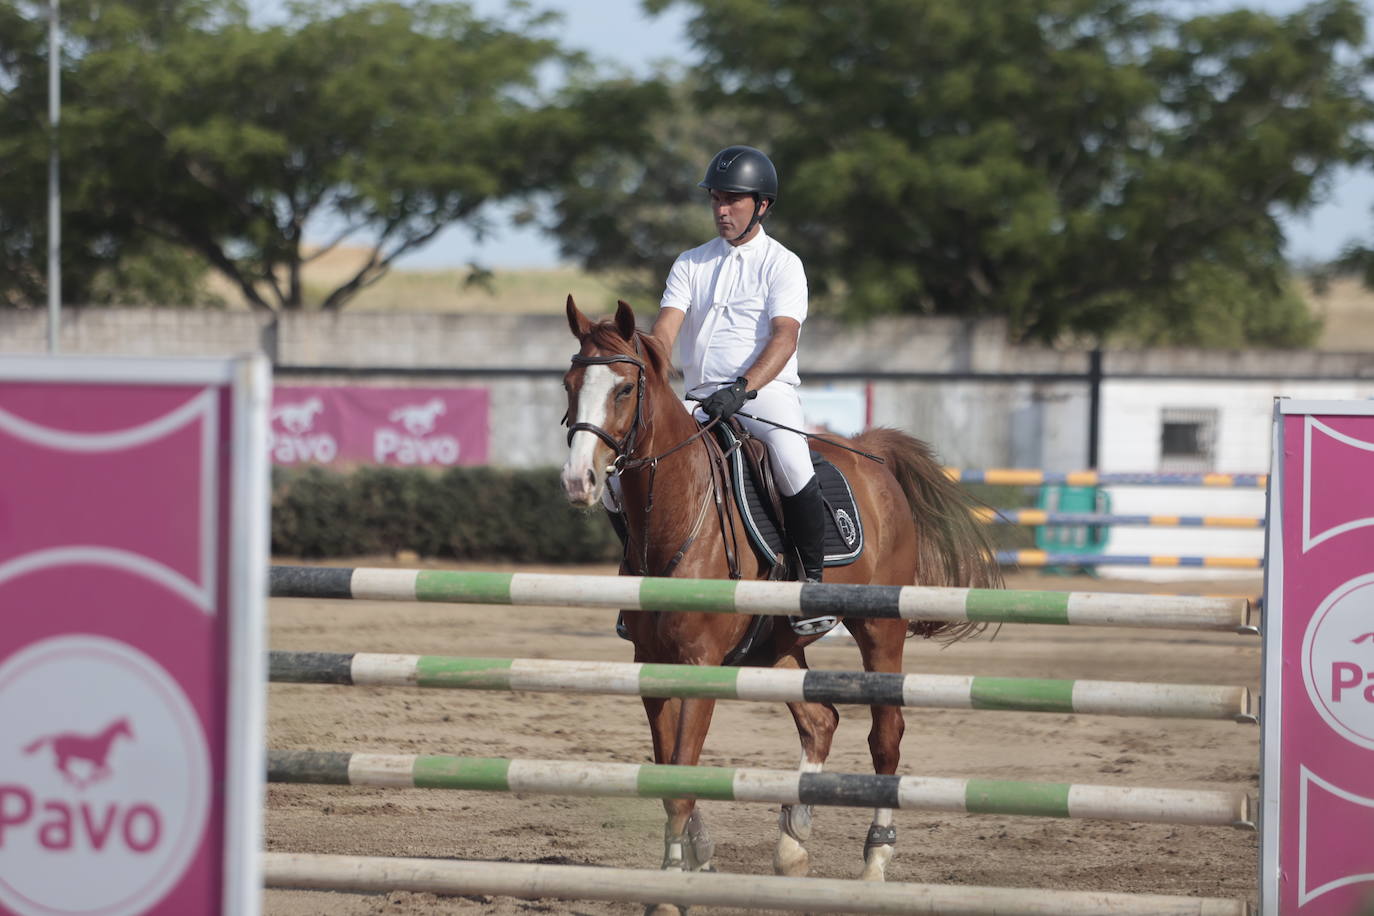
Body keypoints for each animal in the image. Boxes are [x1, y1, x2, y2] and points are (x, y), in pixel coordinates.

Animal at [557, 295, 1000, 911]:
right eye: (570, 383)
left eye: (624, 389)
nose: (579, 480)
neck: (677, 512)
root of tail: (871, 454)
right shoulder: (653, 666)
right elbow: (669, 771)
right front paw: (696, 859)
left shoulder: (699, 665)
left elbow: (681, 779)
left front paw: (670, 887)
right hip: (777, 645)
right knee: (821, 720)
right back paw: (793, 842)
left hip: (879, 630)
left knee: (885, 735)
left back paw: (875, 862)